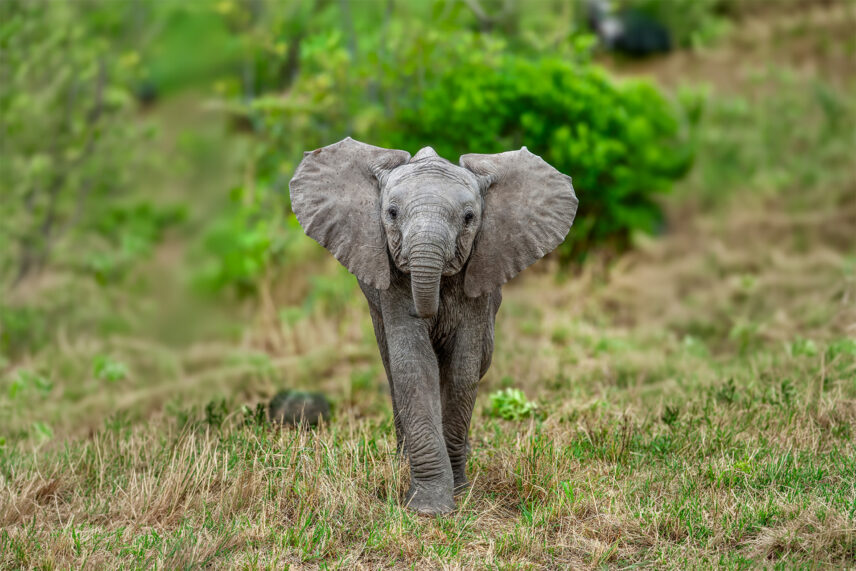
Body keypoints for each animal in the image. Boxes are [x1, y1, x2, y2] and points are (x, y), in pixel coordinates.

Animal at [289, 137, 578, 514]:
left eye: (469, 218)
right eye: (391, 213)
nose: (431, 313)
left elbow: (462, 369)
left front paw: (459, 491)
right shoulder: (391, 279)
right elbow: (413, 365)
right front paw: (428, 508)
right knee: (391, 366)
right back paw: (402, 460)